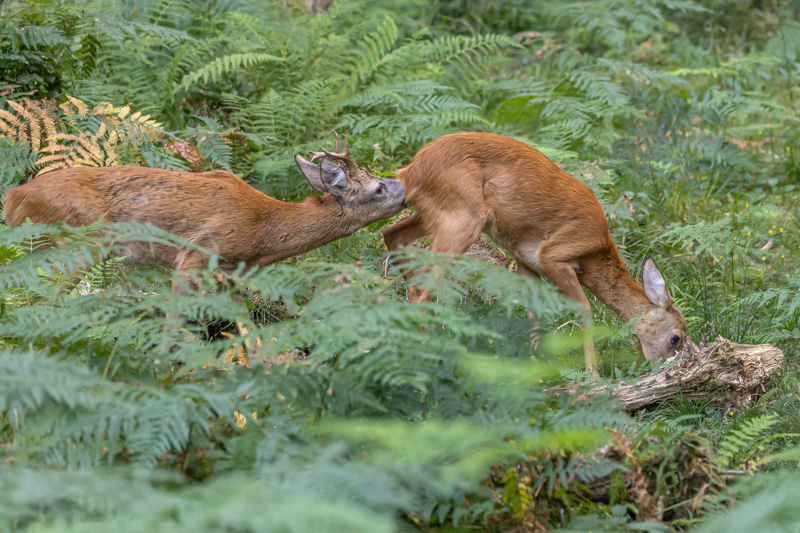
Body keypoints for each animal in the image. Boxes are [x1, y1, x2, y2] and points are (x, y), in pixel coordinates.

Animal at [384, 132, 684, 374]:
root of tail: (409, 170)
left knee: (392, 236)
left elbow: (534, 313)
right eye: (676, 337)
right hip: (463, 219)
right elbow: (584, 309)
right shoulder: (553, 255)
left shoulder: (524, 260)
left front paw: (538, 370)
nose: (667, 368)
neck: (596, 252)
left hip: (434, 214)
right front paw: (593, 377)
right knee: (422, 289)